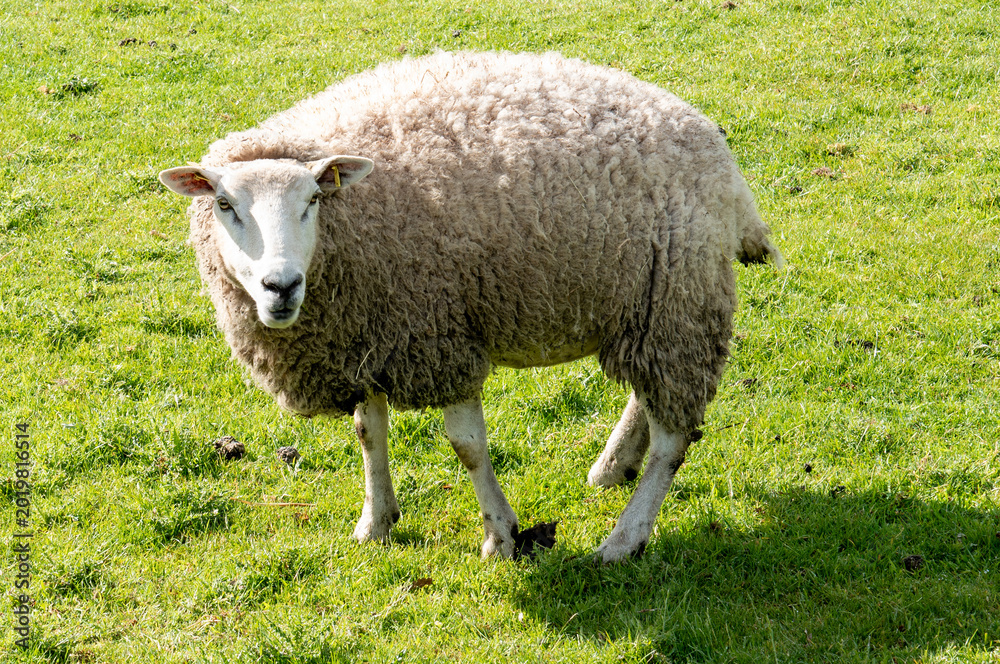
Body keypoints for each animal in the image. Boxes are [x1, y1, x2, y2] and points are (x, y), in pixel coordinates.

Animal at [159, 50, 783, 562]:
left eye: (313, 199)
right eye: (224, 204)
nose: (281, 286)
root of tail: (723, 164)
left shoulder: (439, 334)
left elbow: (467, 447)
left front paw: (501, 536)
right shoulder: (370, 335)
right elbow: (369, 432)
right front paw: (376, 522)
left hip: (679, 298)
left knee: (674, 439)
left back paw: (623, 539)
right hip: (644, 305)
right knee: (646, 398)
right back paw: (611, 467)